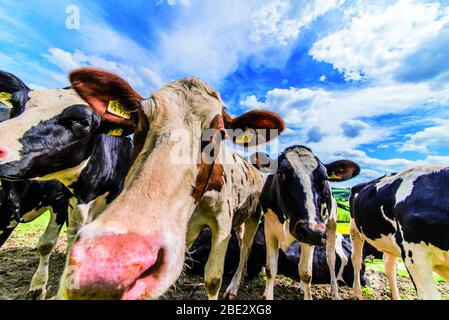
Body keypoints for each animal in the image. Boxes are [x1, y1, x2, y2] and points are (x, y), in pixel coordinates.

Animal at [4, 68, 288, 300]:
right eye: (139, 120)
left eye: (218, 134)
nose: (108, 264)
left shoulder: (222, 222)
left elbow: (213, 278)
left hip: (252, 217)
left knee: (245, 250)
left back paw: (234, 287)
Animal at [254, 146, 358, 300]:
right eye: (280, 174)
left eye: (324, 178)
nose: (312, 231)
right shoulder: (269, 229)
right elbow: (270, 269)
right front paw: (267, 295)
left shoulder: (312, 235)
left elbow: (306, 273)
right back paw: (302, 287)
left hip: (330, 226)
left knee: (331, 260)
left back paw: (334, 293)